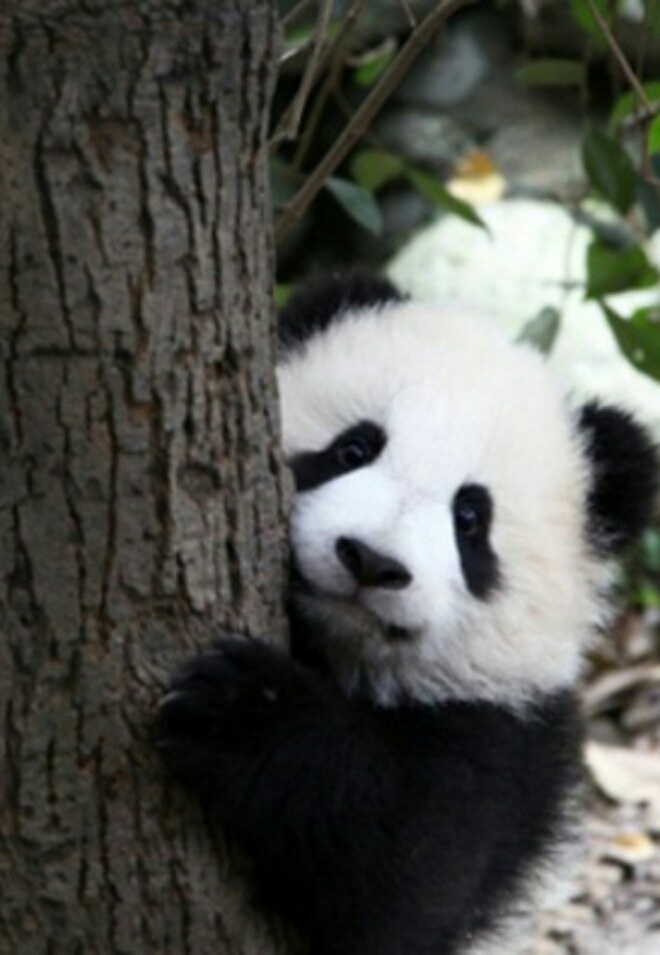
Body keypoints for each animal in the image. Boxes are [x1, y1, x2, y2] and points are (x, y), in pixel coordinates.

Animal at [157, 272, 658, 955]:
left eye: (470, 518)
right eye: (353, 448)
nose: (370, 560)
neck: (334, 647)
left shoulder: (503, 737)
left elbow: (402, 870)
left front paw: (246, 709)